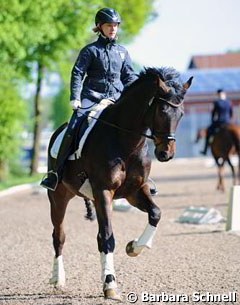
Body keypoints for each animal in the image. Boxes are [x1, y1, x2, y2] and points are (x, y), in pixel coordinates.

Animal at [46, 67, 193, 300]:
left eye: (181, 114)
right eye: (161, 110)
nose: (166, 154)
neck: (126, 141)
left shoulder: (135, 191)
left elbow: (156, 213)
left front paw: (135, 247)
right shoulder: (103, 191)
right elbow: (108, 237)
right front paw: (110, 284)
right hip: (58, 196)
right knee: (59, 235)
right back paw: (57, 278)